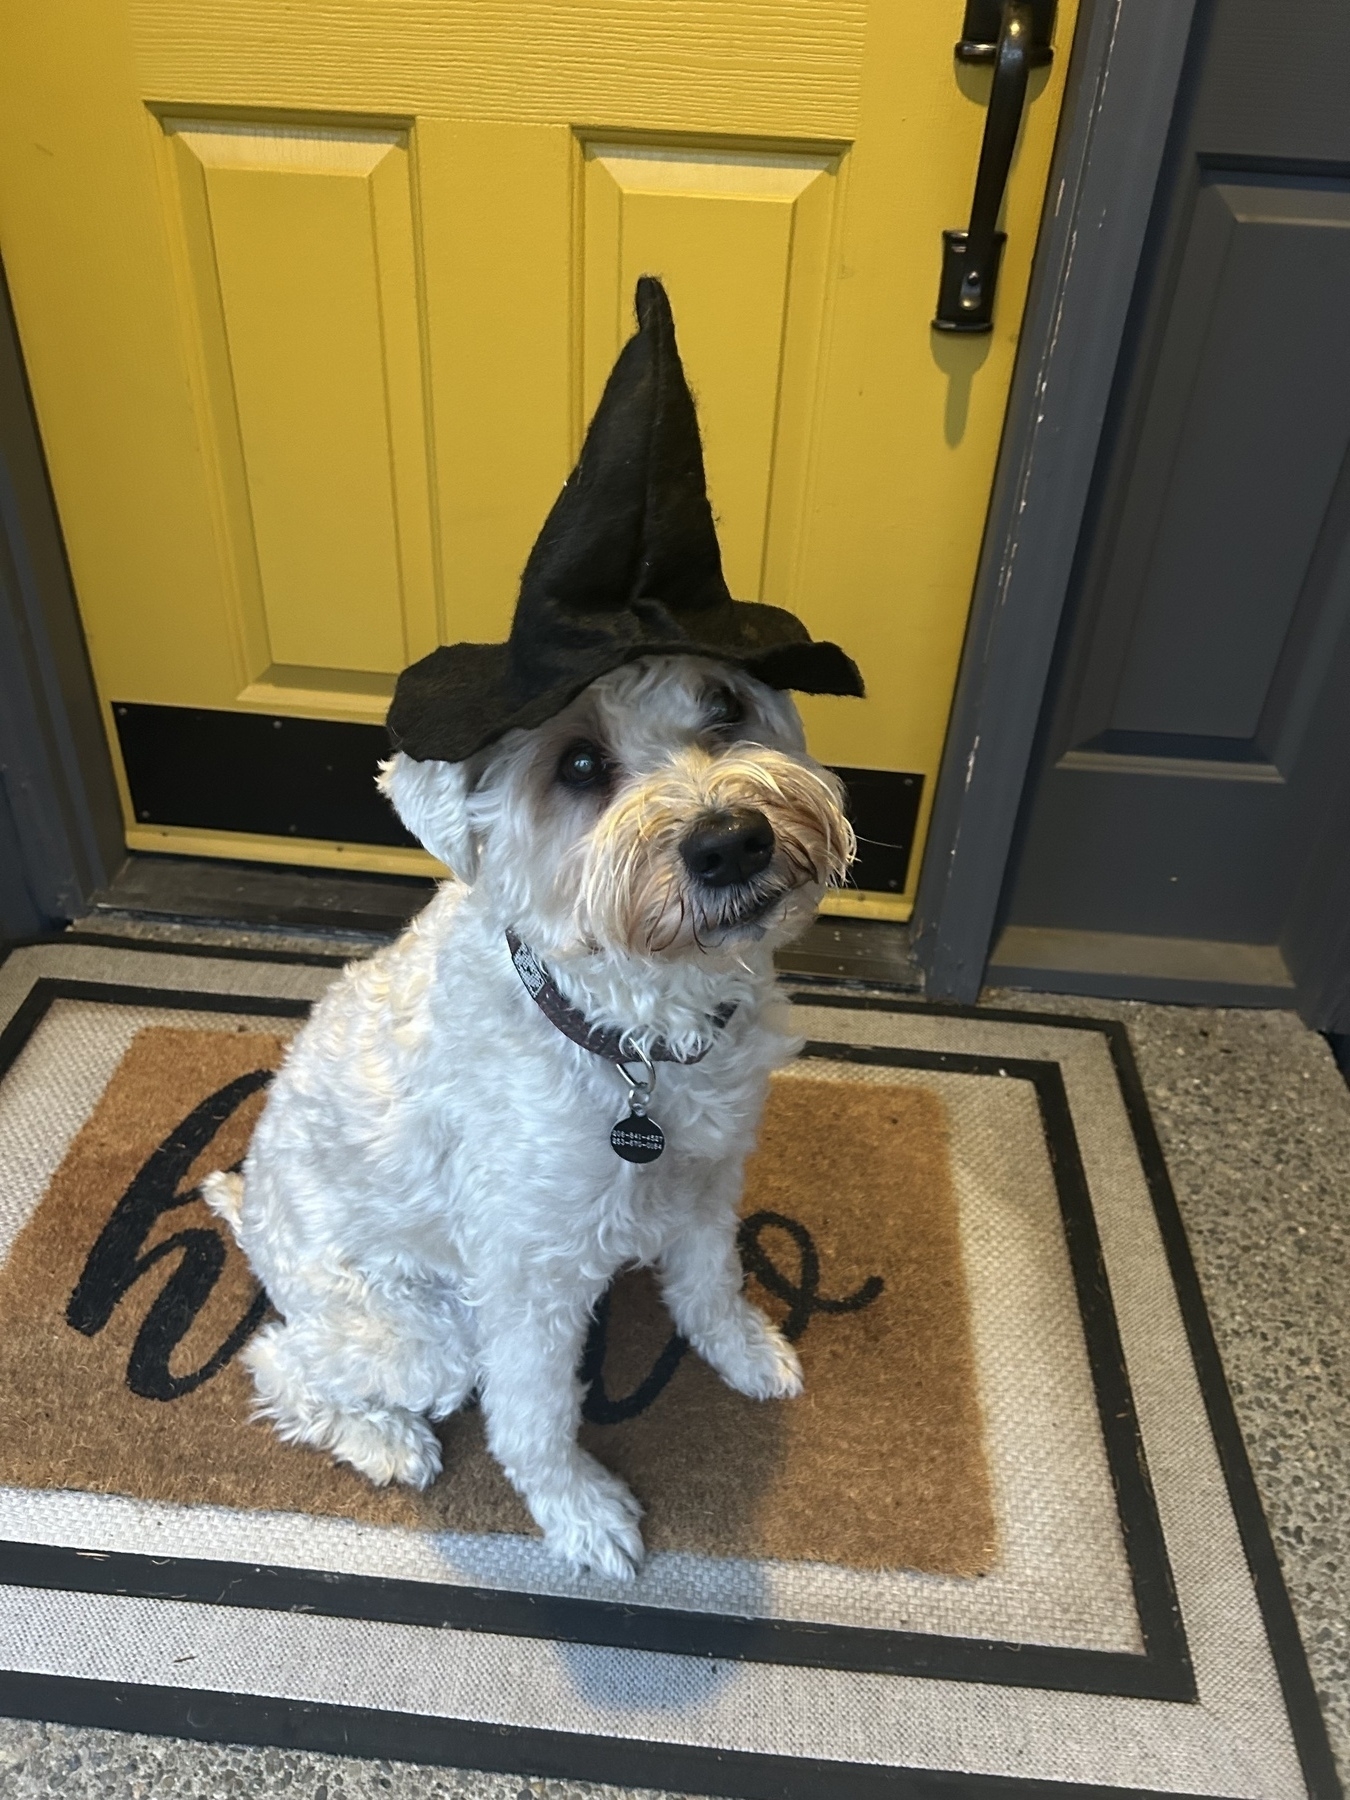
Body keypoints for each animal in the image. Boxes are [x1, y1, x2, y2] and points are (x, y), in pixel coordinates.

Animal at [203, 658, 856, 1576]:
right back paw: (386, 1441)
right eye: (577, 763)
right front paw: (582, 1514)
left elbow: (710, 1283)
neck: (631, 1038)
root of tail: (252, 1209)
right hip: (425, 1333)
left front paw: (745, 1350)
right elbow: (534, 1416)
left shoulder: (711, 1176)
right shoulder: (528, 1279)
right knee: (278, 1361)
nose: (731, 841)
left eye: (727, 703)